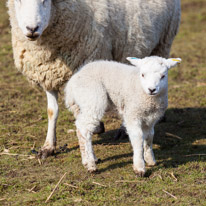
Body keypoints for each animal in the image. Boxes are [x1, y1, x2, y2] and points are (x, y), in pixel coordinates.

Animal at [6, 0, 180, 158]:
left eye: (45, 1)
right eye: (18, 1)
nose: (32, 29)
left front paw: (96, 128)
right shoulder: (47, 74)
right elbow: (52, 111)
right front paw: (48, 147)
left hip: (163, 42)